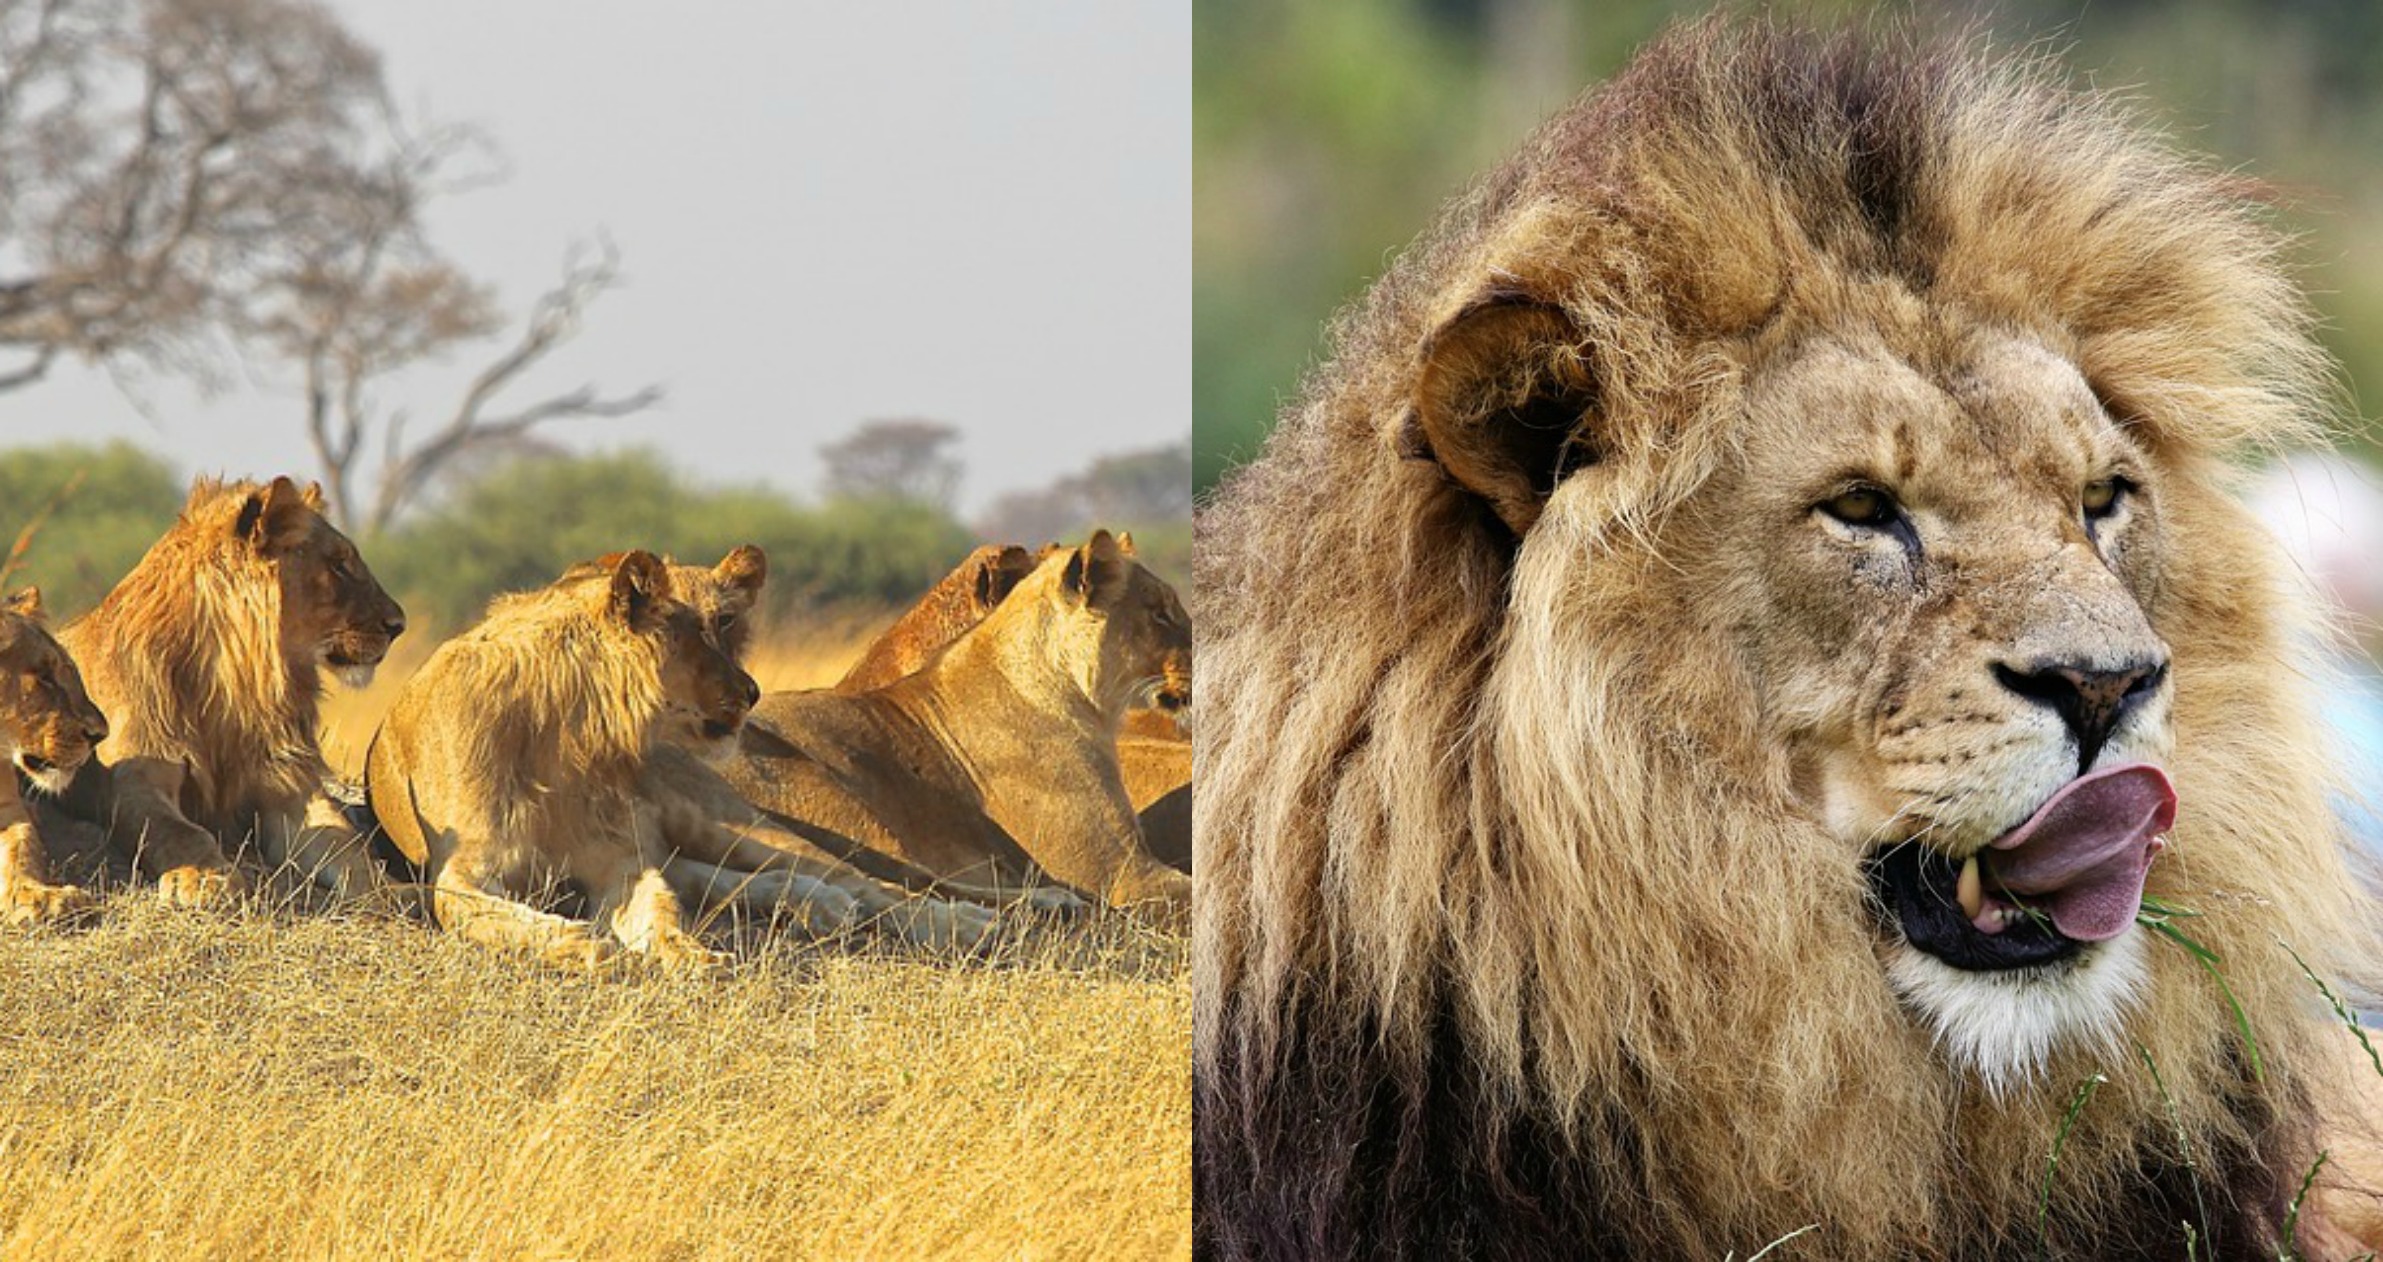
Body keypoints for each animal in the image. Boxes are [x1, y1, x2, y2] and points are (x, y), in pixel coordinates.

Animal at [36, 476, 404, 907]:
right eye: (338, 564)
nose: (399, 624)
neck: (232, 686)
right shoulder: (131, 781)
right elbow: (181, 832)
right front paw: (205, 877)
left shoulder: (289, 785)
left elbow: (345, 843)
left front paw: (396, 891)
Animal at [366, 550, 759, 969]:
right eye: (696, 634)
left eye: (724, 622)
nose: (753, 692)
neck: (563, 737)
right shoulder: (461, 868)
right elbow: (504, 919)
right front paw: (591, 947)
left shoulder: (618, 858)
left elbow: (661, 908)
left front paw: (694, 954)